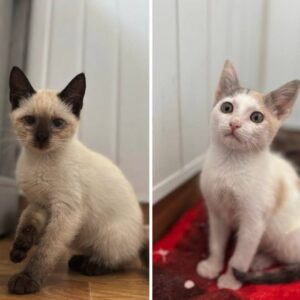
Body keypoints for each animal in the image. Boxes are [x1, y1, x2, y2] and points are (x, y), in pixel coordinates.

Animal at [196, 60, 300, 288]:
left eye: (256, 117)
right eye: (227, 107)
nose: (234, 123)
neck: (230, 165)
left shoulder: (253, 222)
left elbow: (241, 255)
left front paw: (229, 281)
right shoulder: (216, 211)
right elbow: (216, 243)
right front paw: (213, 266)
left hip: (285, 237)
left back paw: (260, 260)